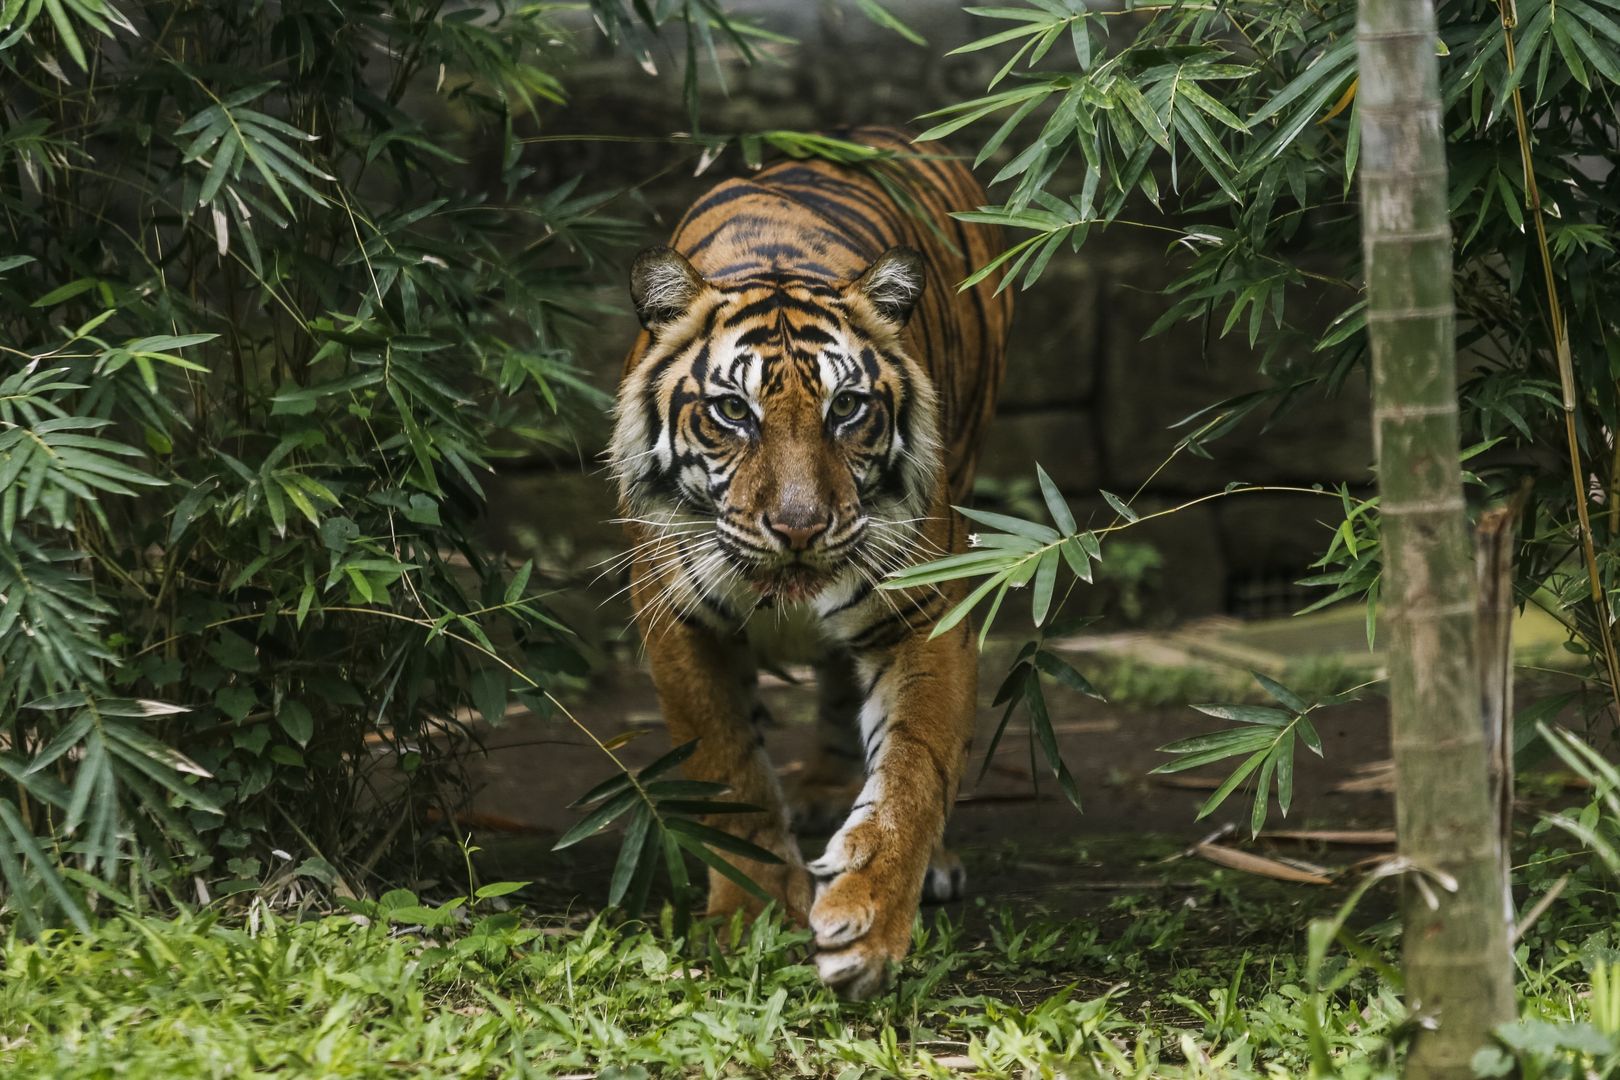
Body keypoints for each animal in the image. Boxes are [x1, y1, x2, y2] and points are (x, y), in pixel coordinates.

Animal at [609, 124, 1010, 997]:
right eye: (733, 412)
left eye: (847, 407)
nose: (800, 528)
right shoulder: (676, 620)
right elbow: (730, 772)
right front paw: (753, 916)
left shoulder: (928, 610)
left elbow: (917, 769)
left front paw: (867, 924)